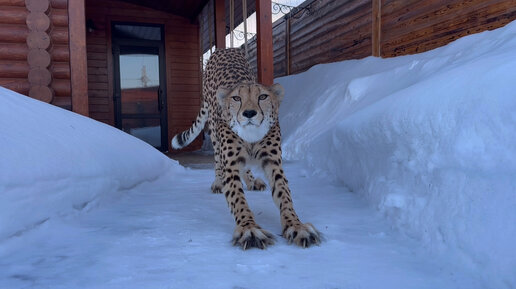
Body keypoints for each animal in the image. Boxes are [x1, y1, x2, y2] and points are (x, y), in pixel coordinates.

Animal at [171, 48, 320, 249]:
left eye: (262, 97)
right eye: (236, 98)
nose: (249, 113)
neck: (250, 137)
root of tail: (225, 49)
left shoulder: (273, 162)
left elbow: (284, 194)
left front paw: (296, 226)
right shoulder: (231, 164)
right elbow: (237, 197)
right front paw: (249, 229)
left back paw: (251, 180)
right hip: (215, 133)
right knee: (217, 159)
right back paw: (218, 182)